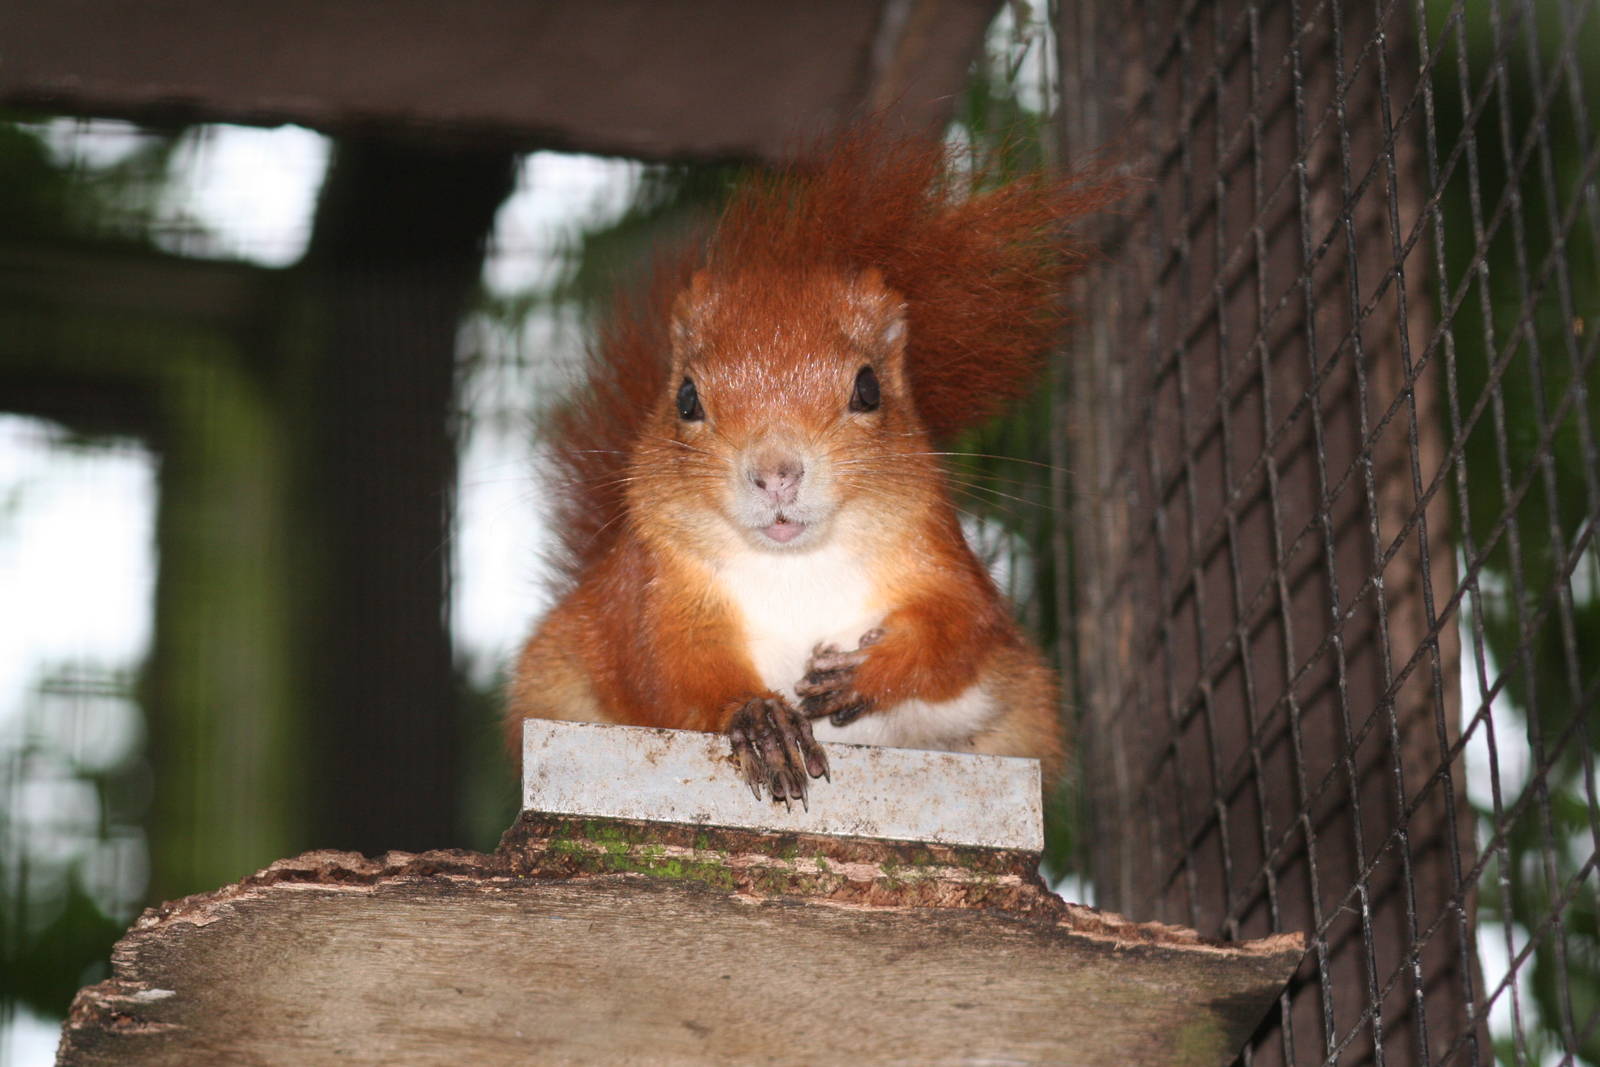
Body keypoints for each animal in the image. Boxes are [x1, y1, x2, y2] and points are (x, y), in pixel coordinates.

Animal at [506, 127, 1114, 804]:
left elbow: (963, 630)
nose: (776, 474)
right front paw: (758, 717)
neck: (795, 567)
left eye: (869, 390)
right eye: (686, 399)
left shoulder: (940, 554)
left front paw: (869, 671)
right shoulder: (655, 589)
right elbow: (668, 667)